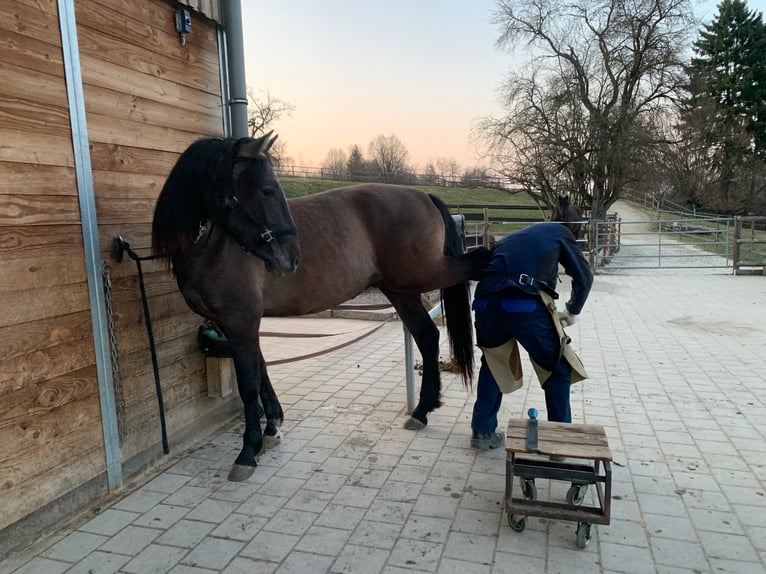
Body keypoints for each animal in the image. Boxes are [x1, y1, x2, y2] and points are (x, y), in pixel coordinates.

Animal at [150, 134, 492, 482]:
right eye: (267, 190)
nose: (291, 256)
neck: (214, 245)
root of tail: (423, 195)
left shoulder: (241, 321)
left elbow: (249, 383)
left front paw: (248, 450)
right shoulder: (233, 324)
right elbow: (261, 371)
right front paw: (272, 428)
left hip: (422, 275)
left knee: (479, 262)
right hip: (400, 290)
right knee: (426, 336)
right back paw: (423, 410)